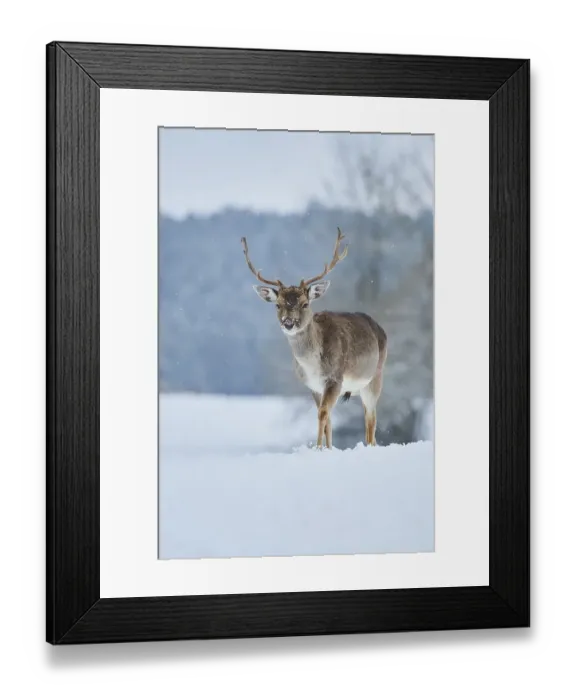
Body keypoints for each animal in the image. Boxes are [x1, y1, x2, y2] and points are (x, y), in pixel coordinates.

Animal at [241, 228, 388, 450]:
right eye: (278, 305)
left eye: (304, 303)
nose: (288, 323)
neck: (313, 366)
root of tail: (380, 328)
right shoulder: (313, 386)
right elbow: (327, 420)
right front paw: (327, 448)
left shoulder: (335, 379)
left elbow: (323, 413)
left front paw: (318, 448)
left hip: (375, 377)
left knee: (371, 420)